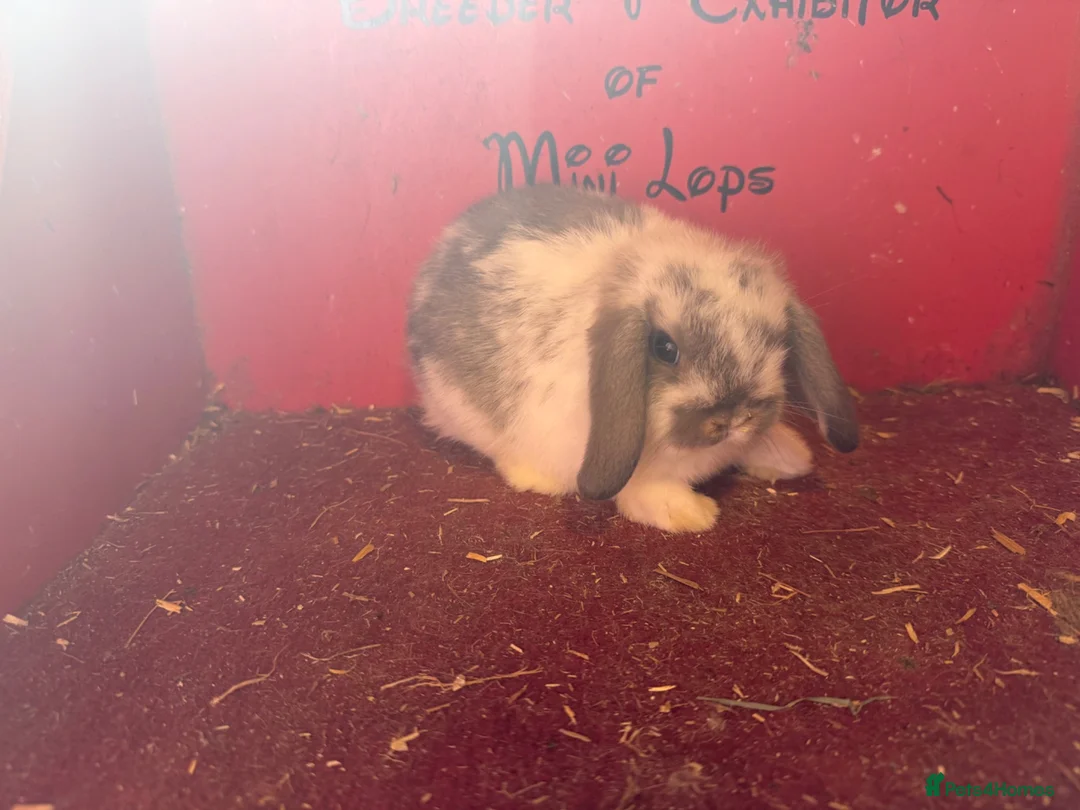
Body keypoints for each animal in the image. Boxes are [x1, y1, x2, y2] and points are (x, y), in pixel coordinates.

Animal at [406, 183, 859, 533]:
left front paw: (789, 456)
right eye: (664, 348)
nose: (732, 418)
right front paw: (691, 513)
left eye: (777, 341)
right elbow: (643, 491)